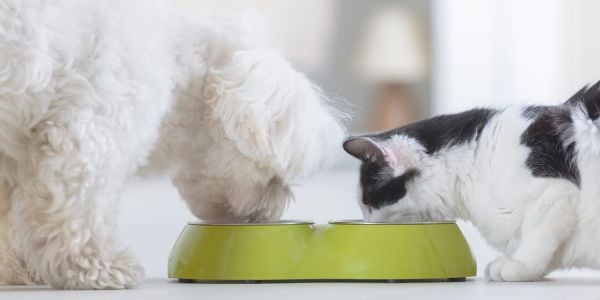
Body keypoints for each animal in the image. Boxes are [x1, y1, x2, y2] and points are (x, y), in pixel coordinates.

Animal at [0, 1, 344, 290]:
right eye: (273, 177)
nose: (268, 214)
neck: (176, 59)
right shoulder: (89, 135)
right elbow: (81, 211)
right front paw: (100, 268)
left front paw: (18, 268)